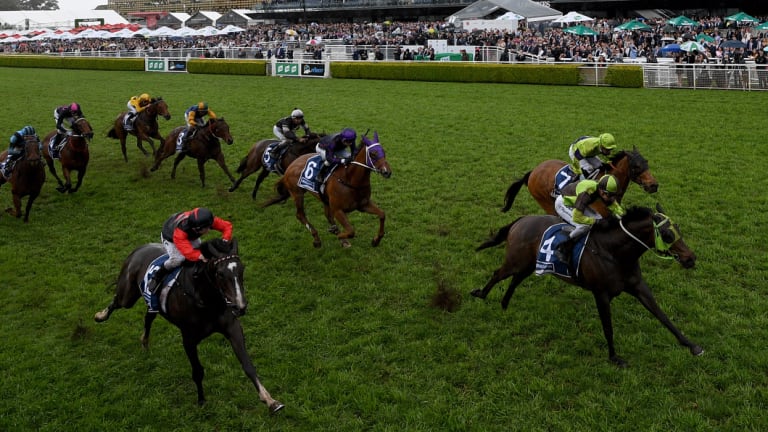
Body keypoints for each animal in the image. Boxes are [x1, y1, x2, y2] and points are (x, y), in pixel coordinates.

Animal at [94, 238, 284, 414]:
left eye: (242, 269)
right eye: (220, 274)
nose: (240, 307)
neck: (207, 300)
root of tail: (139, 249)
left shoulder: (233, 328)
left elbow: (248, 365)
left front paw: (270, 400)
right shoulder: (189, 340)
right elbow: (198, 371)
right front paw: (201, 400)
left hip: (152, 303)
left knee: (148, 317)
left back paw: (144, 342)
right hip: (128, 296)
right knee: (117, 301)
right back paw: (101, 315)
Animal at [264, 131, 396, 246]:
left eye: (384, 152)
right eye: (373, 154)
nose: (387, 172)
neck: (350, 180)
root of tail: (290, 166)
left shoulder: (363, 205)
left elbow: (382, 215)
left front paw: (376, 240)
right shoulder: (338, 210)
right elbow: (351, 231)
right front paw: (339, 236)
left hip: (324, 199)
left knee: (327, 215)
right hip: (297, 193)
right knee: (300, 215)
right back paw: (317, 239)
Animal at [468, 204, 704, 366]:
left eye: (678, 229)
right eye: (667, 234)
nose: (690, 258)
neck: (614, 253)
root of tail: (522, 219)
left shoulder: (638, 287)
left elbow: (662, 316)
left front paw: (692, 346)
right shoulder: (601, 294)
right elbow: (608, 328)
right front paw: (614, 357)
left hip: (528, 264)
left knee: (516, 279)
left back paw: (504, 303)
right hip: (515, 260)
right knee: (498, 274)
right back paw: (481, 294)